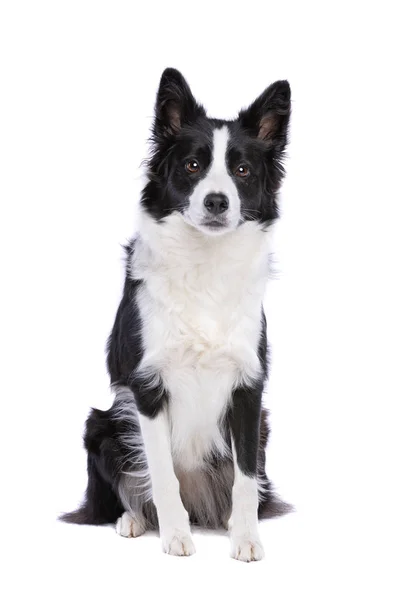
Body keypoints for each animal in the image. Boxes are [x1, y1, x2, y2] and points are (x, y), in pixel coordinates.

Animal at [63, 68, 294, 560]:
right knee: (128, 491)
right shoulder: (147, 387)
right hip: (103, 424)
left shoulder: (249, 390)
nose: (216, 202)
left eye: (242, 170)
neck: (204, 263)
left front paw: (246, 539)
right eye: (192, 165)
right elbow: (162, 475)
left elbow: (246, 480)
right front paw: (175, 536)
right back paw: (134, 520)